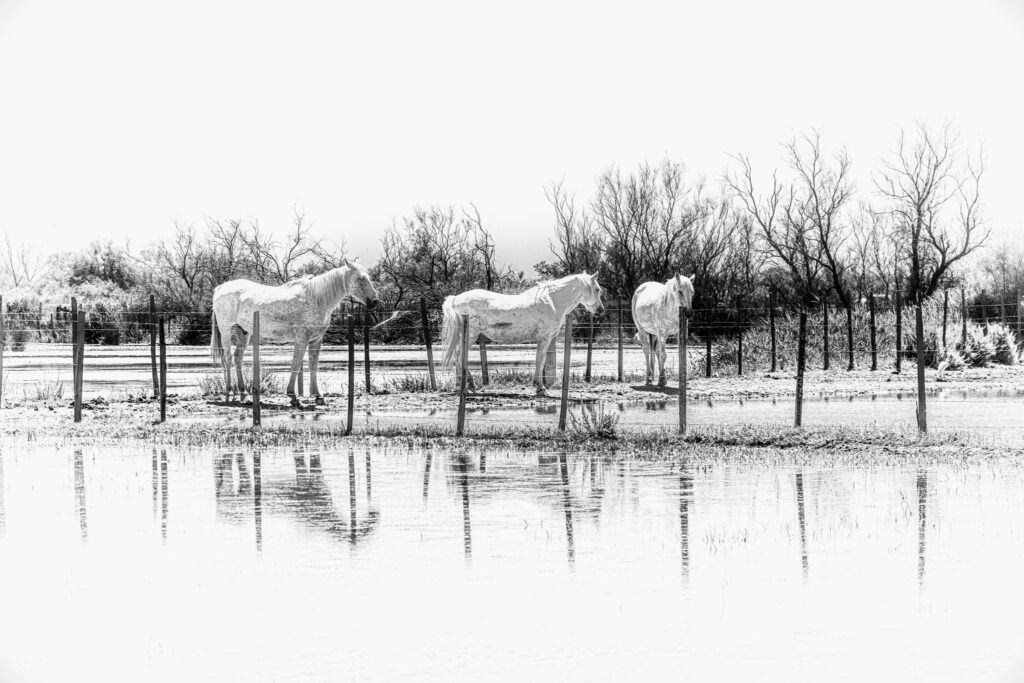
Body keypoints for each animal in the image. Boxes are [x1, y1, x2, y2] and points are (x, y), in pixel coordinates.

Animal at [210, 259, 379, 407]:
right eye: (360, 278)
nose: (375, 301)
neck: (316, 299)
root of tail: (220, 289)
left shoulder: (316, 340)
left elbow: (313, 365)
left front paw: (318, 396)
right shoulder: (302, 339)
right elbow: (297, 364)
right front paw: (293, 397)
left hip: (244, 332)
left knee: (237, 358)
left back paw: (243, 394)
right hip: (226, 332)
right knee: (227, 358)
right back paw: (228, 392)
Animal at [440, 273, 605, 396]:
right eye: (597, 289)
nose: (601, 310)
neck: (552, 301)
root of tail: (456, 298)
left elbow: (541, 360)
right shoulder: (544, 338)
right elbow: (540, 360)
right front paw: (540, 388)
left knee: (457, 356)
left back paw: (462, 385)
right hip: (471, 334)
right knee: (459, 356)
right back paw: (470, 385)